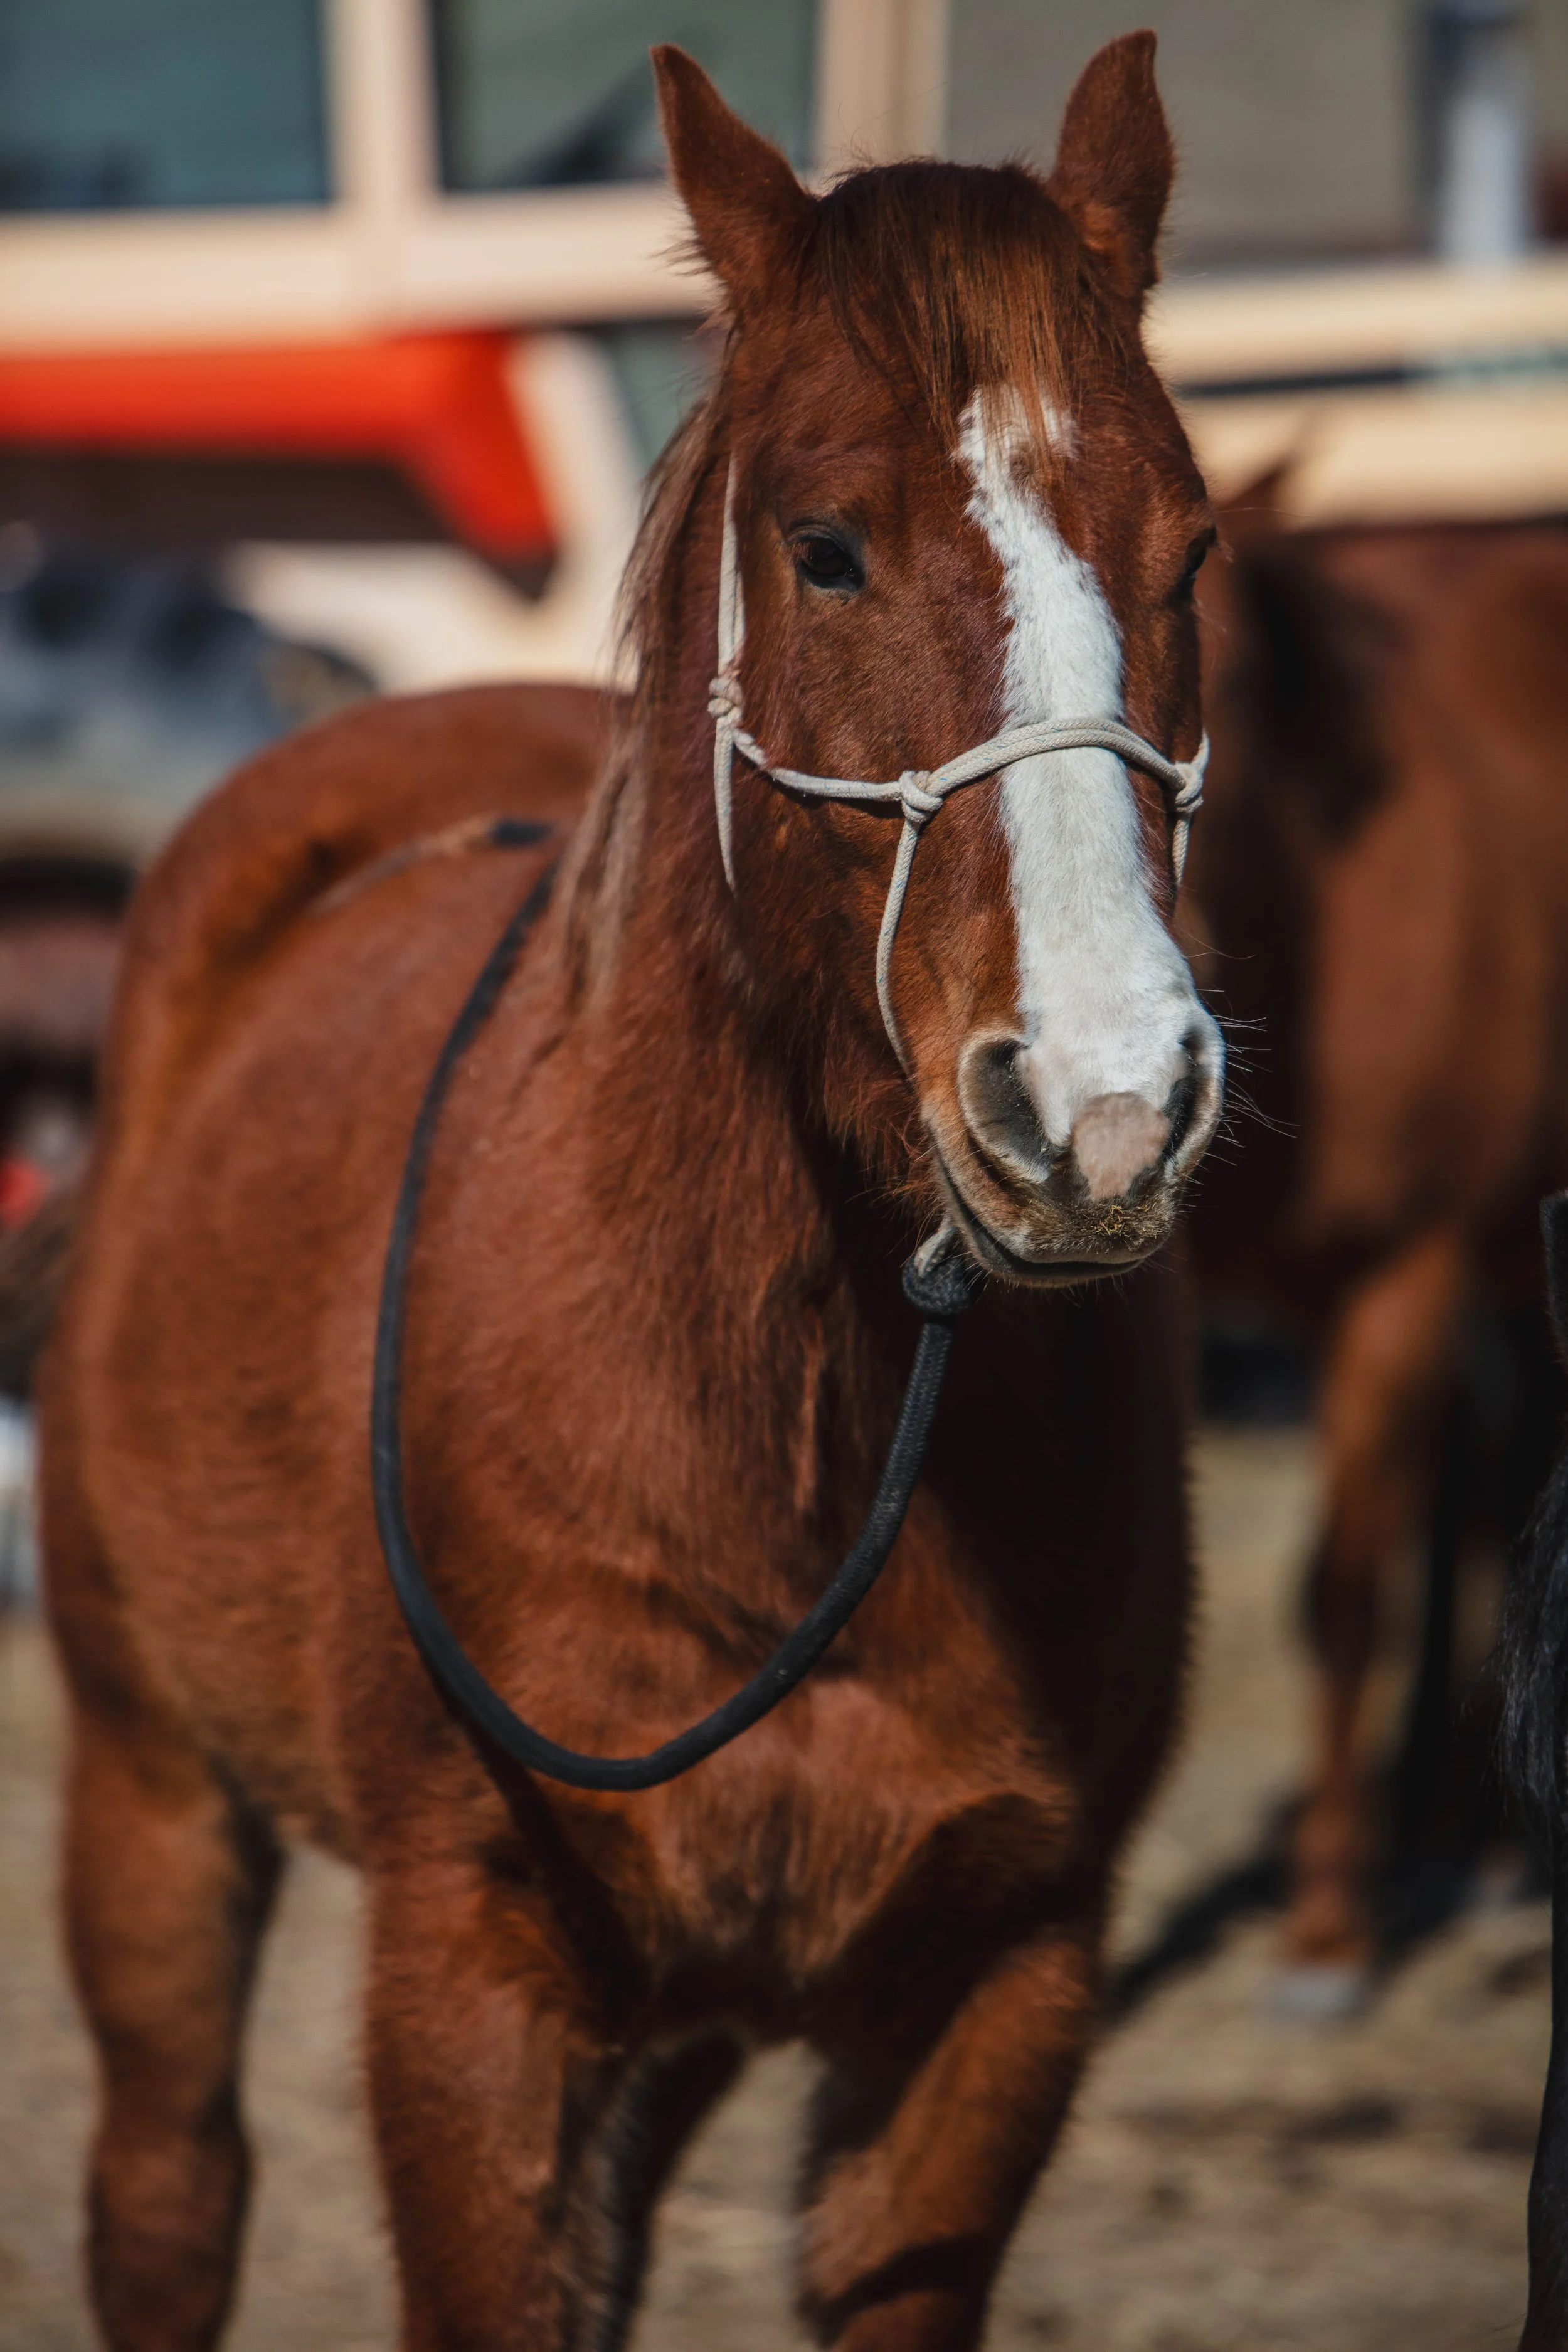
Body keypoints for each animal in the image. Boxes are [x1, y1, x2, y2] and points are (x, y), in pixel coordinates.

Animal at [39, 39, 1223, 2349]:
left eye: (1193, 546)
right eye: (825, 548)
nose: (1107, 1105)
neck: (801, 1429)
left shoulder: (998, 1993)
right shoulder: (469, 1982)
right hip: (148, 1794)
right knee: (169, 2188)